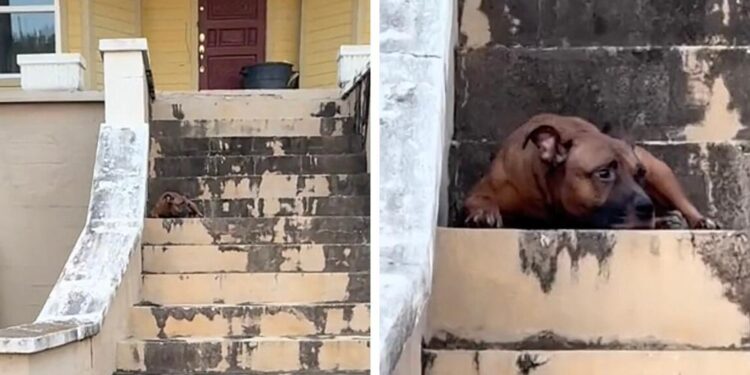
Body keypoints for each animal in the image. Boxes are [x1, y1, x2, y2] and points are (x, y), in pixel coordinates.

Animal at [468, 113, 720, 231]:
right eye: (604, 173)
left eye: (640, 174)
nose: (647, 207)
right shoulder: (487, 189)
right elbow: (481, 199)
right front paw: (484, 213)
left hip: (661, 173)